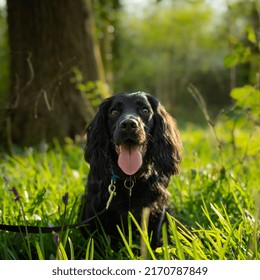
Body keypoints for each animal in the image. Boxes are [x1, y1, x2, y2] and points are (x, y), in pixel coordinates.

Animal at [80, 92, 182, 249]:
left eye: (145, 110)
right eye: (114, 112)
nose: (128, 125)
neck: (130, 180)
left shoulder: (156, 209)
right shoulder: (94, 209)